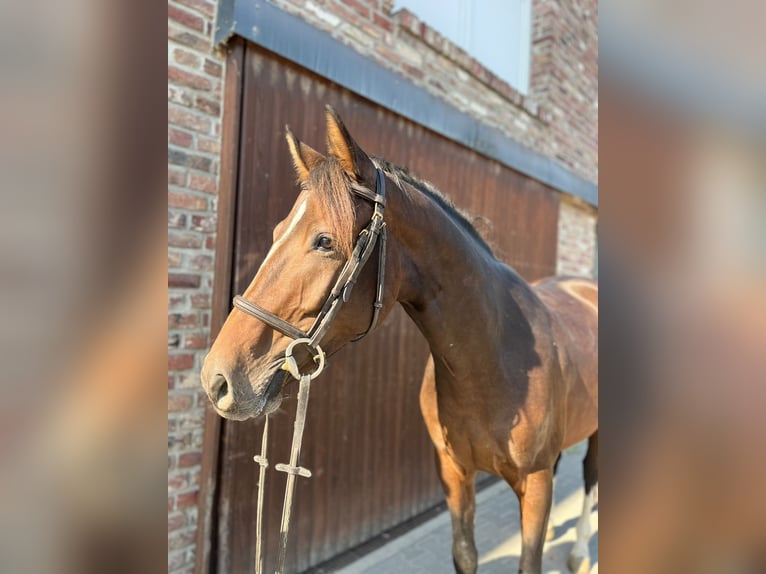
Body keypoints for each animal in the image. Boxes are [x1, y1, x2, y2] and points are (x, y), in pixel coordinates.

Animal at [202, 107, 600, 572]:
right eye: (277, 232)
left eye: (325, 241)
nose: (217, 379)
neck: (495, 363)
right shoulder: (454, 474)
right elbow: (465, 554)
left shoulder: (534, 484)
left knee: (591, 476)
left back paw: (578, 552)